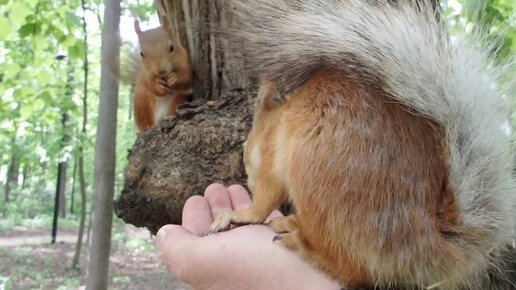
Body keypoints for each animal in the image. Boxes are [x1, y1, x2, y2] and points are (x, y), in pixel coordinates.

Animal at [207, 1, 516, 288]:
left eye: (246, 150)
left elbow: (263, 202)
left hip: (315, 176)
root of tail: (424, 241)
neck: (277, 119)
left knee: (352, 269)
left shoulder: (271, 159)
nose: (247, 180)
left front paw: (238, 215)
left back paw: (303, 246)